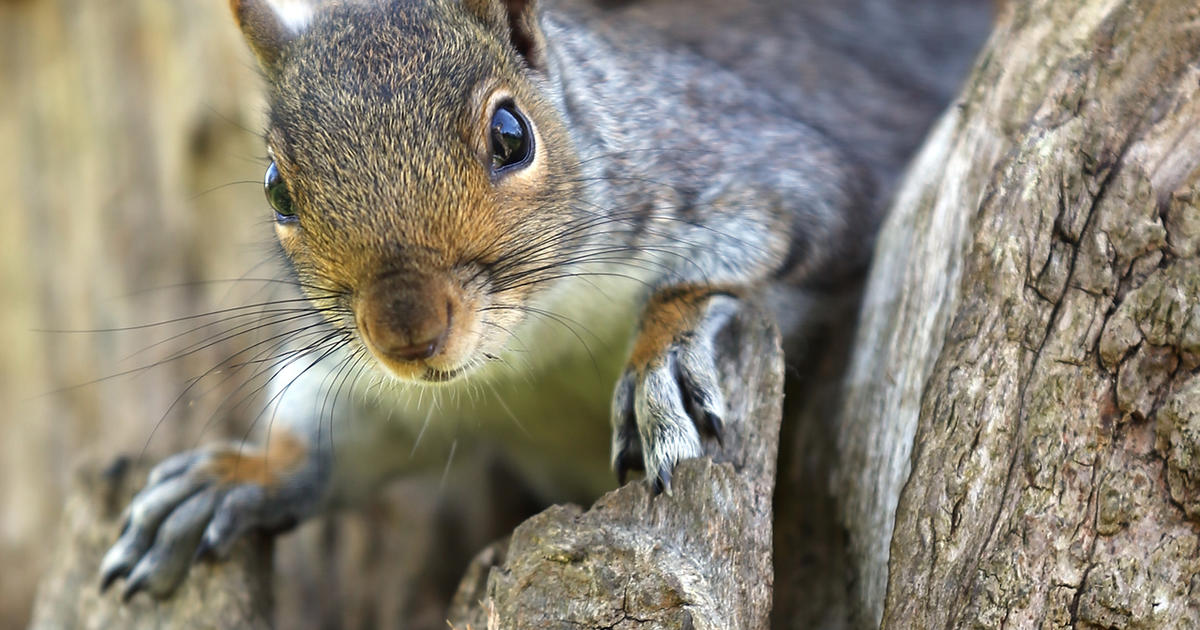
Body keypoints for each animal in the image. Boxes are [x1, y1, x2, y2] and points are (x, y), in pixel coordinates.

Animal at [103, 0, 988, 600]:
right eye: (276, 190)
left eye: (511, 135)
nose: (406, 334)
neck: (532, 347)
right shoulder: (388, 388)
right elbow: (339, 437)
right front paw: (236, 476)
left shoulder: (769, 173)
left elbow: (746, 256)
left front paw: (660, 360)